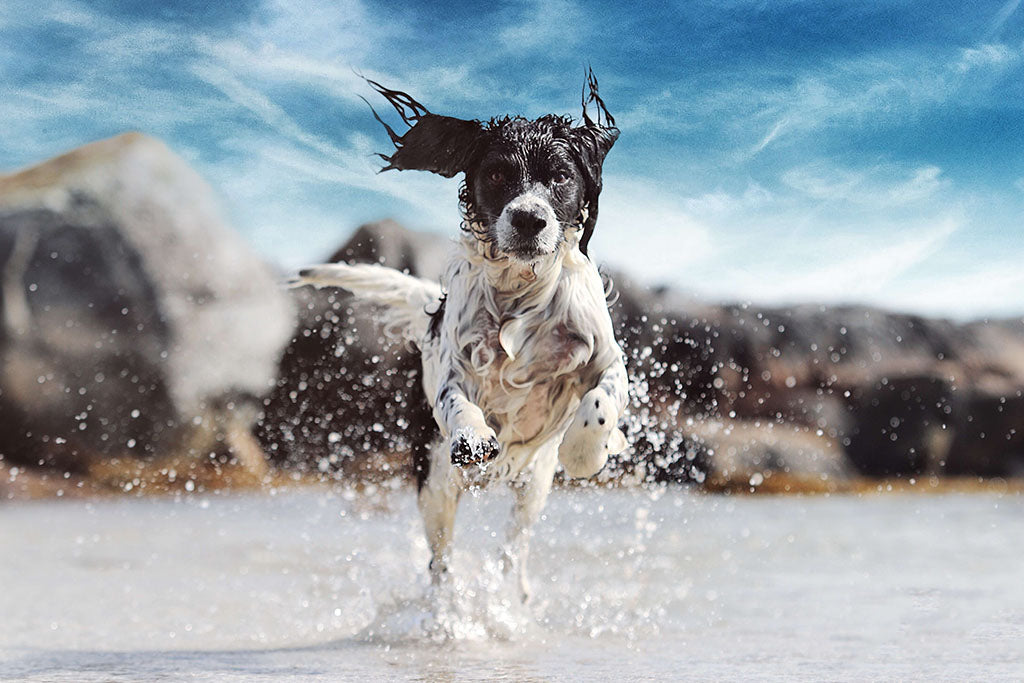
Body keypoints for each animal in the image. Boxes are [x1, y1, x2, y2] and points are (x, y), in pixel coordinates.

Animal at [296, 72, 626, 602]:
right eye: (495, 174)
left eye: (560, 176)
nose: (529, 219)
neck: (519, 292)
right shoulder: (453, 371)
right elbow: (457, 402)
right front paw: (473, 434)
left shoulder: (604, 357)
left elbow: (600, 401)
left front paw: (585, 452)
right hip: (434, 482)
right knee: (441, 560)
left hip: (532, 487)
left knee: (515, 546)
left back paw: (513, 592)